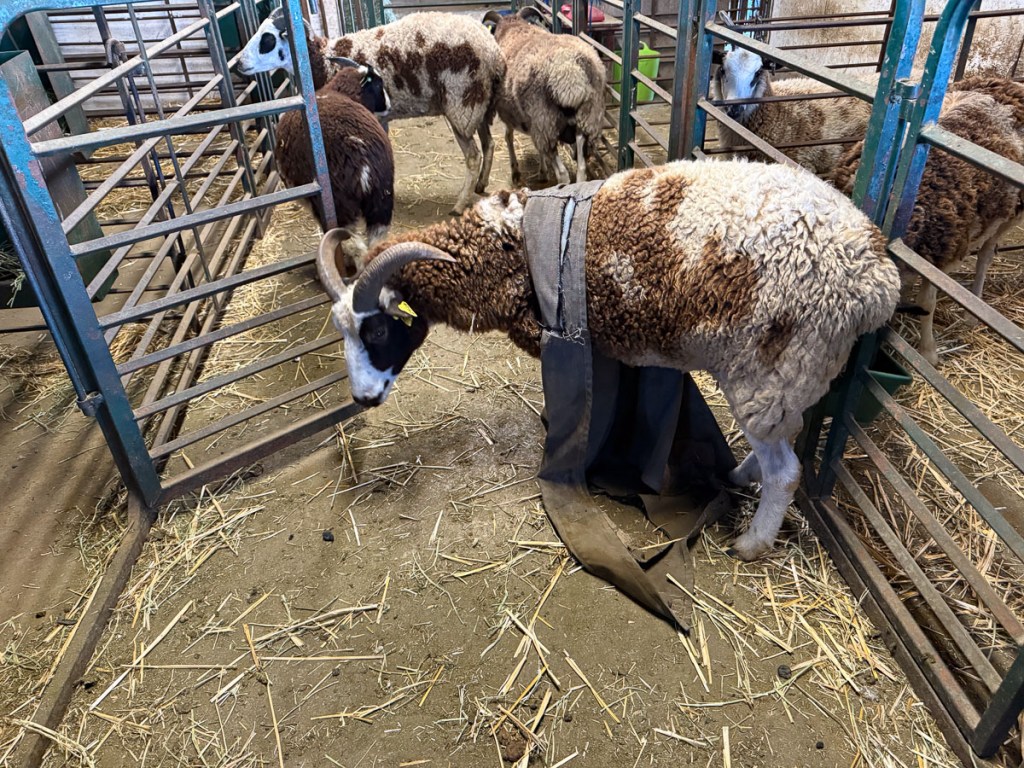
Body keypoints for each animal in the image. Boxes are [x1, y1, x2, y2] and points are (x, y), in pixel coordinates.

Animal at [238, 8, 504, 214]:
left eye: (268, 39)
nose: (239, 64)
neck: (322, 61)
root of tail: (495, 52)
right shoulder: (378, 116)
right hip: (480, 104)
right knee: (489, 144)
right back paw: (481, 185)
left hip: (462, 102)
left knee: (473, 156)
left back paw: (460, 204)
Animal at [315, 161, 901, 560]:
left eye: (378, 329)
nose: (361, 398)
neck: (504, 246)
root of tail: (875, 278)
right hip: (791, 378)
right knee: (784, 443)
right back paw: (736, 473)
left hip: (767, 368)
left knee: (786, 471)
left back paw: (752, 542)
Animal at [482, 7, 610, 185]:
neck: (514, 28)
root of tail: (568, 70)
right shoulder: (530, 121)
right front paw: (542, 172)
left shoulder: (510, 113)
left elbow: (508, 137)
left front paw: (516, 171)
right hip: (587, 120)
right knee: (581, 168)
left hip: (546, 122)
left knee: (562, 173)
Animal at [832, 80, 1024, 365]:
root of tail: (1007, 83)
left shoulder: (938, 259)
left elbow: (927, 303)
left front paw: (928, 353)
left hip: (1011, 215)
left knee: (986, 254)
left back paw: (971, 312)